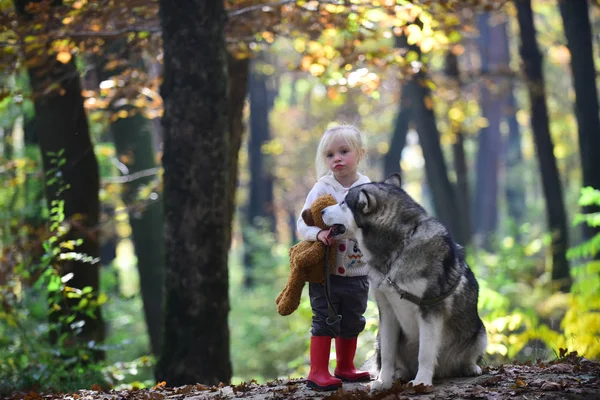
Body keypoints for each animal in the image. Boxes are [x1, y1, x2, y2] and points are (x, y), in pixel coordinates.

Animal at [322, 173, 486, 390]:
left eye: (343, 203)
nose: (321, 210)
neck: (397, 248)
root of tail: (444, 371)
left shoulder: (430, 310)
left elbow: (425, 352)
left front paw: (422, 381)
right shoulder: (387, 311)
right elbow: (388, 354)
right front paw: (383, 381)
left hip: (480, 332)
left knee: (467, 355)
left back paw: (468, 367)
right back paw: (399, 373)